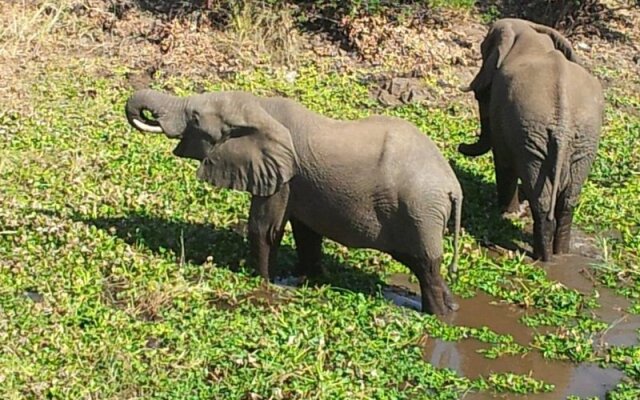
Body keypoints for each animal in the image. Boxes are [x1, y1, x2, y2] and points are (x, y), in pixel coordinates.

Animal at [126, 88, 464, 316]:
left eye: (195, 118)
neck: (261, 107)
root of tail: (454, 188)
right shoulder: (300, 183)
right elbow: (306, 234)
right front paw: (302, 279)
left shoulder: (282, 176)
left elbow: (265, 229)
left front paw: (265, 282)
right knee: (427, 268)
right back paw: (451, 308)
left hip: (419, 211)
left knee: (426, 265)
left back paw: (438, 316)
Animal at [458, 18, 604, 262]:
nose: (460, 146)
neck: (531, 34)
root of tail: (563, 125)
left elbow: (503, 162)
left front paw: (509, 214)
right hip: (581, 141)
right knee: (567, 201)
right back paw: (559, 255)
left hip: (535, 135)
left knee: (543, 201)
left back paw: (543, 258)